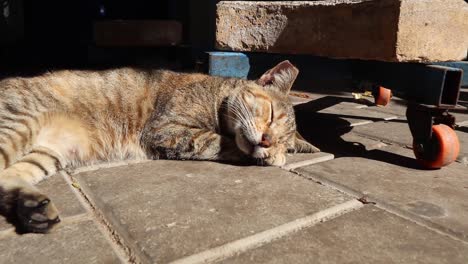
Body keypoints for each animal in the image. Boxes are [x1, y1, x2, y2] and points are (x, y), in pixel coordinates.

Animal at [0, 60, 318, 233]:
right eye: (271, 115)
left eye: (282, 143)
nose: (267, 141)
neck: (216, 98)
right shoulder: (164, 130)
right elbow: (217, 141)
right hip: (17, 124)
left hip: (46, 153)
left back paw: (33, 208)